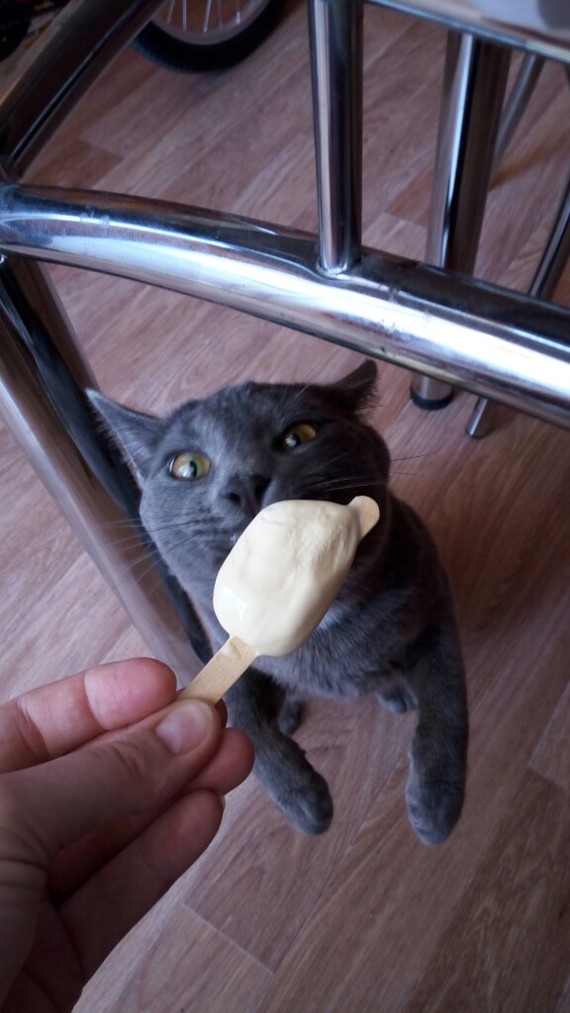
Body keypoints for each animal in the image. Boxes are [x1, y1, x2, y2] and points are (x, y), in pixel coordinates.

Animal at [91, 360, 467, 842]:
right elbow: (241, 715)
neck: (323, 631)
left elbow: (446, 695)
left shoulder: (433, 600)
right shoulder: (226, 645)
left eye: (299, 435)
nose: (244, 483)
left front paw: (436, 807)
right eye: (187, 467)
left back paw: (395, 694)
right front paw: (305, 803)